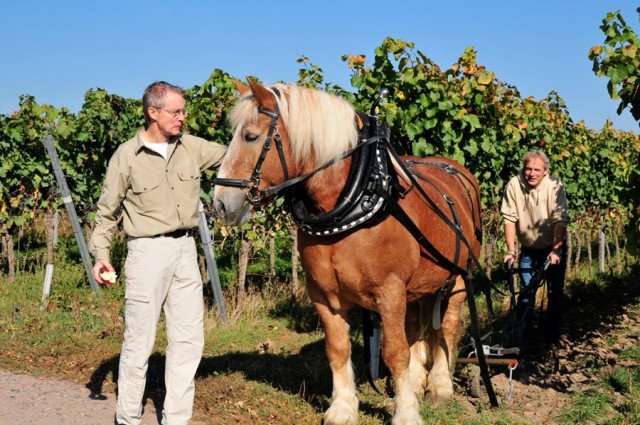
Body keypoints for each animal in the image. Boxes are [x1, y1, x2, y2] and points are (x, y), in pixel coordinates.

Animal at [212, 79, 482, 424]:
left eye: (250, 136)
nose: (220, 203)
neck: (355, 197)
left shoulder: (390, 291)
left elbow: (394, 352)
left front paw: (406, 413)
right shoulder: (323, 294)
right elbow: (338, 348)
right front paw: (342, 408)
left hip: (459, 278)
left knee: (446, 327)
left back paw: (440, 386)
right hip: (420, 285)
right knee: (416, 327)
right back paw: (418, 380)